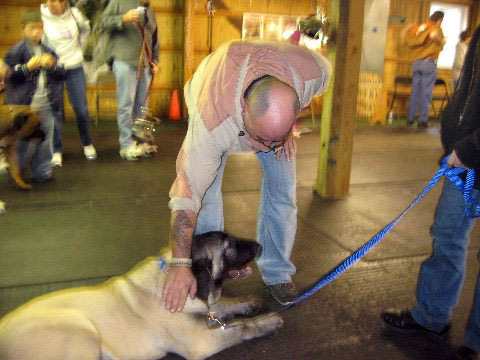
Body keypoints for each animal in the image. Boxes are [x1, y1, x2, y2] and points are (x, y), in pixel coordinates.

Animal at [0, 232, 282, 358]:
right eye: (228, 244)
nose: (260, 246)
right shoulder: (203, 340)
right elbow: (241, 328)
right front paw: (268, 321)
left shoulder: (205, 311)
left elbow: (221, 307)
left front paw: (246, 304)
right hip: (80, 328)